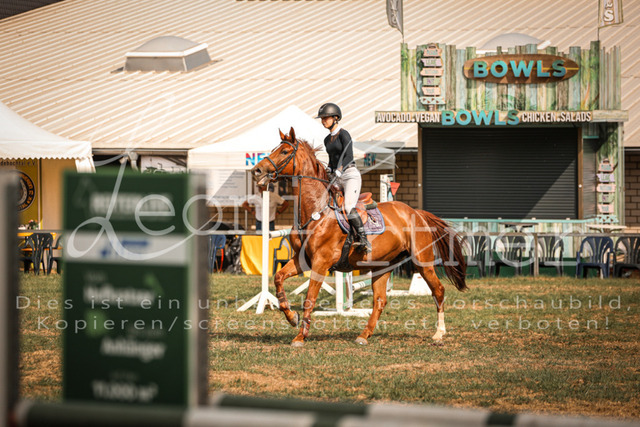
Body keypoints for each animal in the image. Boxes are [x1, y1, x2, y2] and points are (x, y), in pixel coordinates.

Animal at [251, 127, 468, 347]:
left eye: (285, 152)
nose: (257, 171)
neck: (315, 210)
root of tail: (416, 212)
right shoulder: (303, 260)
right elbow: (278, 277)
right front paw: (291, 317)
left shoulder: (321, 262)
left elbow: (310, 298)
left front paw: (300, 337)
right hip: (383, 266)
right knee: (380, 300)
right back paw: (364, 335)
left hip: (422, 262)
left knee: (438, 290)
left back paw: (439, 333)